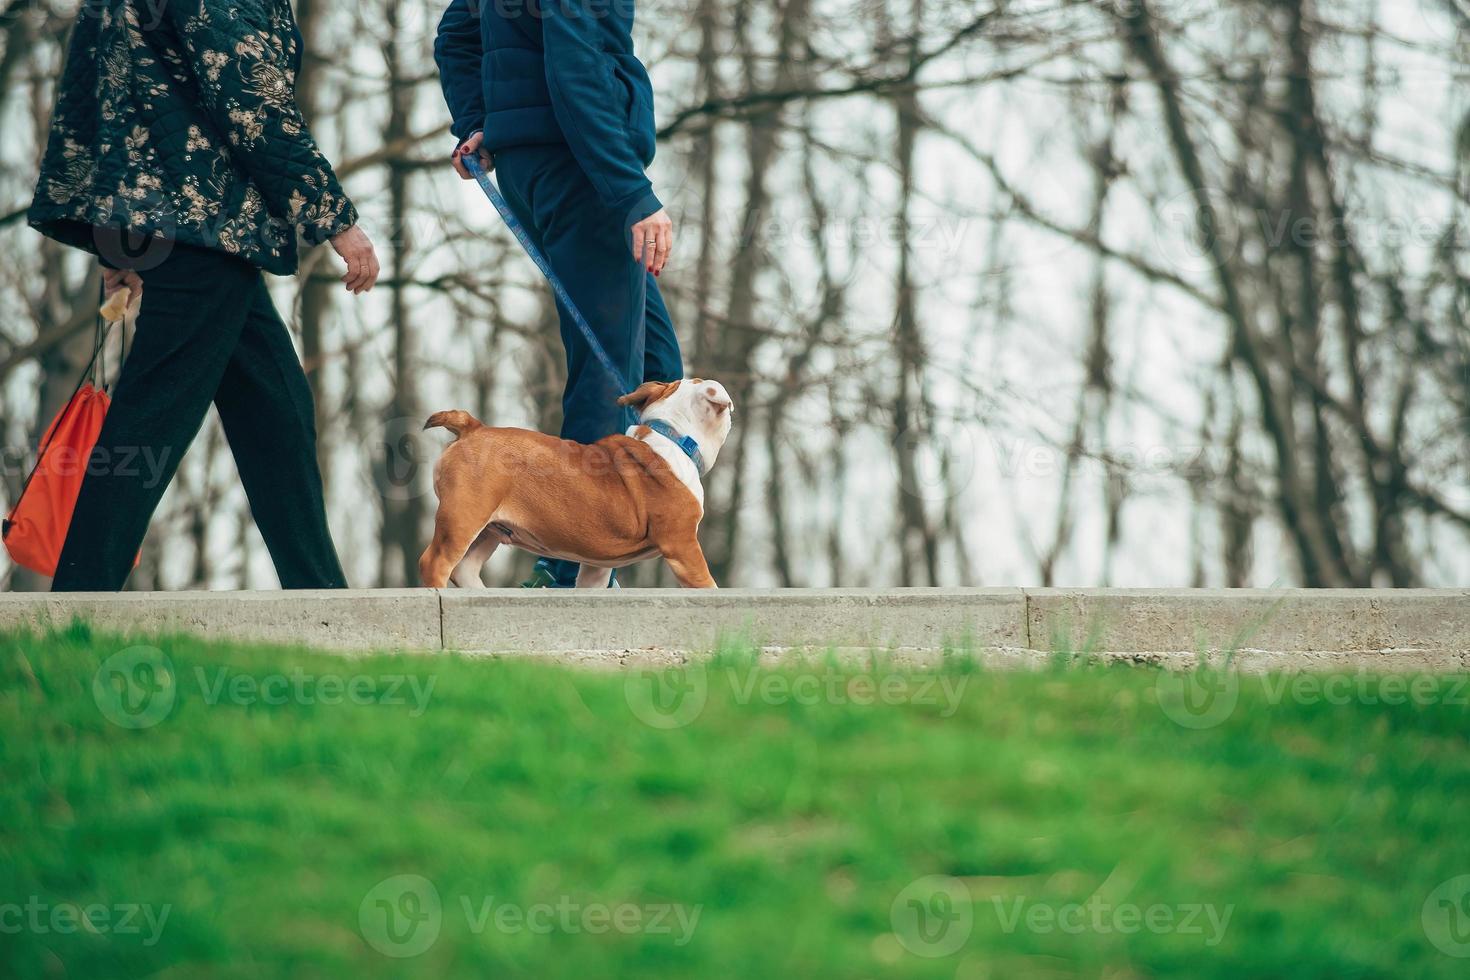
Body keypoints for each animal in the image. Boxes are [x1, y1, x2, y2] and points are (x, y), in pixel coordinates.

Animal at [417, 379, 732, 587]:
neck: (672, 435)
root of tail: (473, 429)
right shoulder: (682, 545)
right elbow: (707, 583)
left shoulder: (598, 567)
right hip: (464, 516)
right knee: (436, 562)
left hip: (490, 528)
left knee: (464, 569)